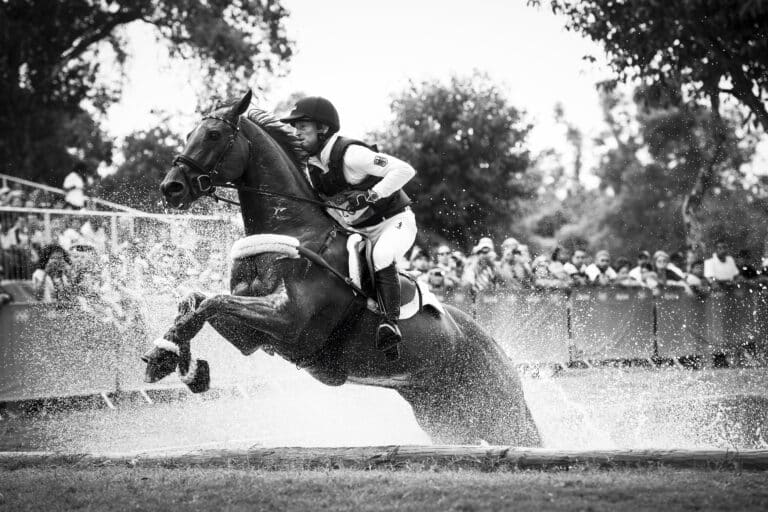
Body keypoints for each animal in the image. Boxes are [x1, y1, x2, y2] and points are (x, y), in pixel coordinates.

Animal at [144, 89, 541, 446]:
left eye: (213, 134)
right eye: (188, 135)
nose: (171, 188)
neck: (292, 228)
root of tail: (496, 347)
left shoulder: (290, 322)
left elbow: (211, 302)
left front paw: (174, 364)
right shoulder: (253, 337)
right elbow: (196, 301)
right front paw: (172, 361)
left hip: (498, 409)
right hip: (447, 417)